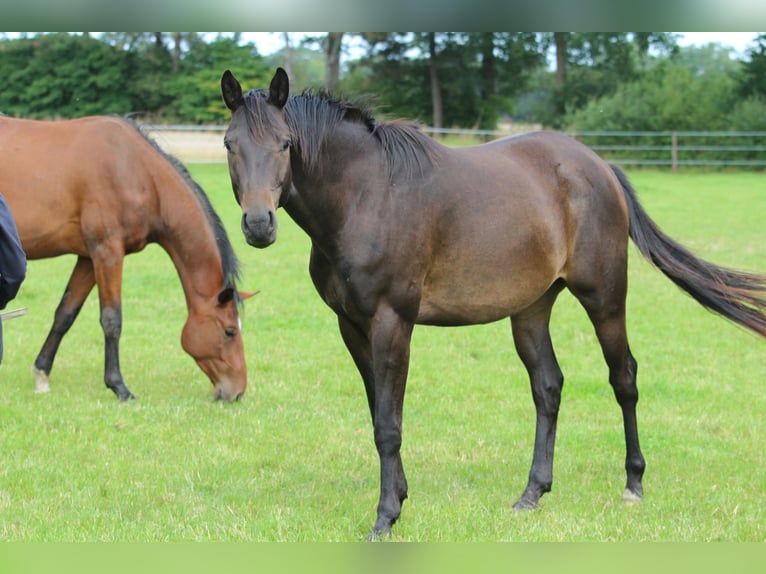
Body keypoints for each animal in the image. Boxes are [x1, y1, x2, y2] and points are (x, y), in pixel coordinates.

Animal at [0, 114, 252, 402]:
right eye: (229, 331)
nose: (237, 392)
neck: (136, 171)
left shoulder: (88, 258)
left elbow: (65, 314)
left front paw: (41, 374)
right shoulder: (107, 252)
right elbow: (112, 319)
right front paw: (119, 386)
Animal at [220, 67, 766, 538]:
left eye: (286, 143)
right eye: (230, 144)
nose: (259, 224)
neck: (367, 197)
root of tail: (600, 167)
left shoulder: (392, 322)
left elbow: (389, 425)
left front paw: (385, 517)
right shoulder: (351, 326)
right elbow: (379, 414)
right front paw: (399, 497)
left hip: (605, 298)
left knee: (623, 378)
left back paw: (633, 484)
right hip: (531, 309)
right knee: (548, 387)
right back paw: (532, 493)